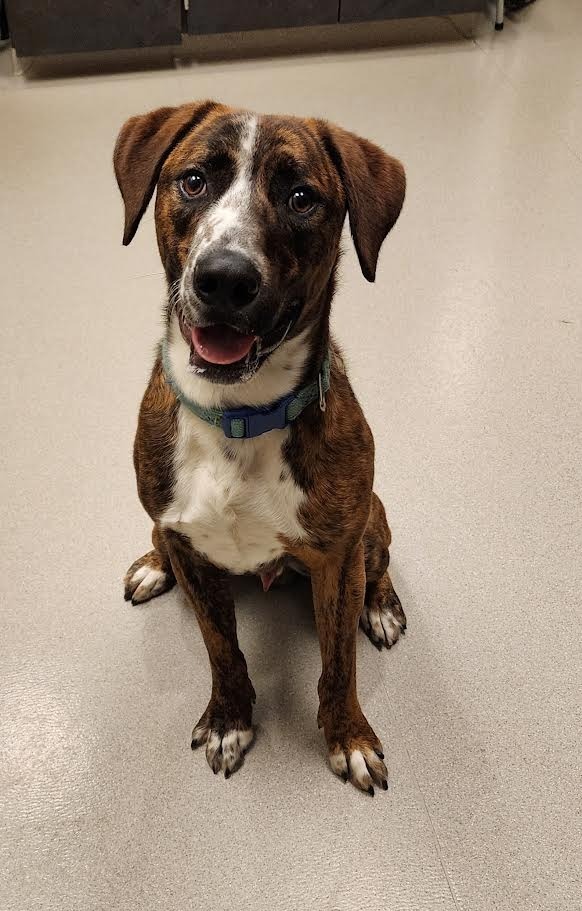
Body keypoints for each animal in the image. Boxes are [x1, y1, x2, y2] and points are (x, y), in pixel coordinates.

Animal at [113, 100, 406, 796]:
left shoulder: (336, 558)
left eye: (301, 198)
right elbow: (222, 648)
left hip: (372, 520)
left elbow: (339, 663)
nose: (224, 278)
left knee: (377, 563)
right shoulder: (193, 548)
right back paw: (152, 564)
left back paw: (382, 607)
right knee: (163, 543)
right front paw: (229, 719)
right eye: (194, 181)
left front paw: (349, 736)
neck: (237, 418)